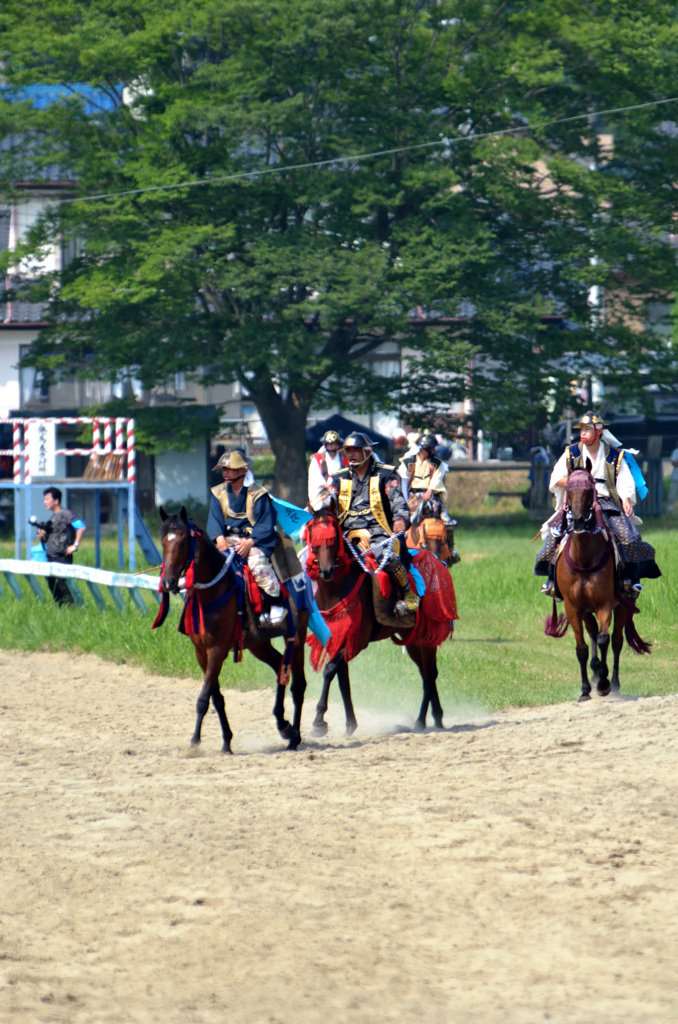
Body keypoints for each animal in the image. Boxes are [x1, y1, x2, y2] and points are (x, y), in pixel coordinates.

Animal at [156, 505, 307, 753]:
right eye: (163, 542)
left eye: (183, 542)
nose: (168, 582)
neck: (212, 592)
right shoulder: (201, 652)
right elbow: (216, 698)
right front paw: (226, 740)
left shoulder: (217, 650)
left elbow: (203, 698)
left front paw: (194, 742)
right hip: (258, 644)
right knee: (279, 667)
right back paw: (283, 725)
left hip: (296, 637)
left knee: (298, 685)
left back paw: (294, 737)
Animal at [303, 509, 456, 737]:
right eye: (313, 536)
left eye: (333, 539)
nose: (326, 571)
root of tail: (439, 562)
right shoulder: (339, 638)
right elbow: (342, 679)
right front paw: (350, 723)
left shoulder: (358, 641)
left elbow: (329, 670)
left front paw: (319, 721)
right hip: (413, 640)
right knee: (427, 673)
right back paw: (437, 717)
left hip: (426, 636)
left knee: (429, 676)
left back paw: (420, 721)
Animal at [548, 471, 655, 704]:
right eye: (569, 490)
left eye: (589, 491)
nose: (578, 521)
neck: (584, 558)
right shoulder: (573, 608)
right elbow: (582, 648)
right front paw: (585, 689)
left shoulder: (604, 604)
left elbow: (605, 639)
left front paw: (604, 684)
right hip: (586, 611)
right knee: (592, 633)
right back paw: (596, 672)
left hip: (622, 605)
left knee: (616, 642)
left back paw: (612, 682)